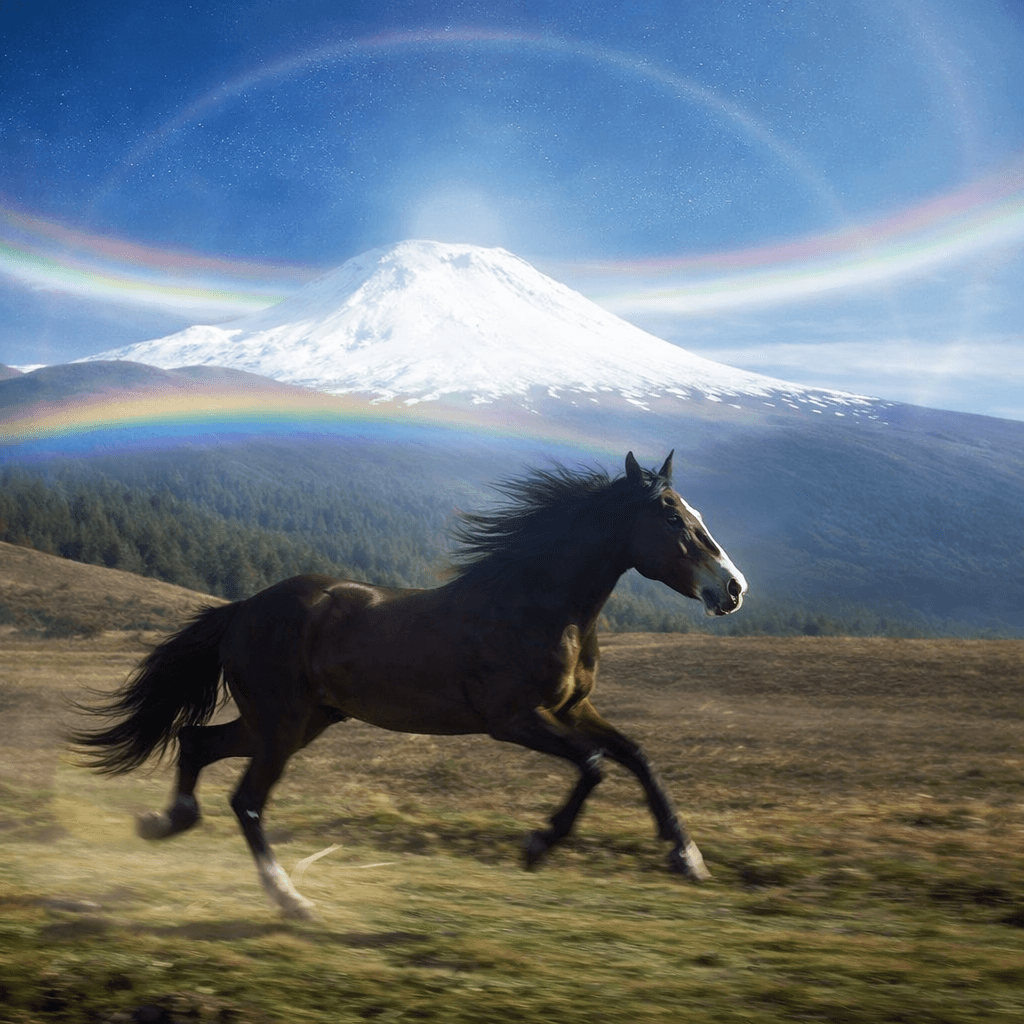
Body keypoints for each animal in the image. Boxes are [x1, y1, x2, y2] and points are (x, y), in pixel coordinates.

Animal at [72, 451, 747, 919]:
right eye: (672, 517)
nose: (734, 589)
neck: (538, 607)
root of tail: (240, 610)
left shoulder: (573, 708)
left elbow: (637, 757)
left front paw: (687, 857)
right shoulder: (511, 719)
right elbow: (596, 766)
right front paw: (536, 845)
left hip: (298, 721)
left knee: (194, 742)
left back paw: (165, 823)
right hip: (282, 724)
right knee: (246, 800)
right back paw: (291, 900)